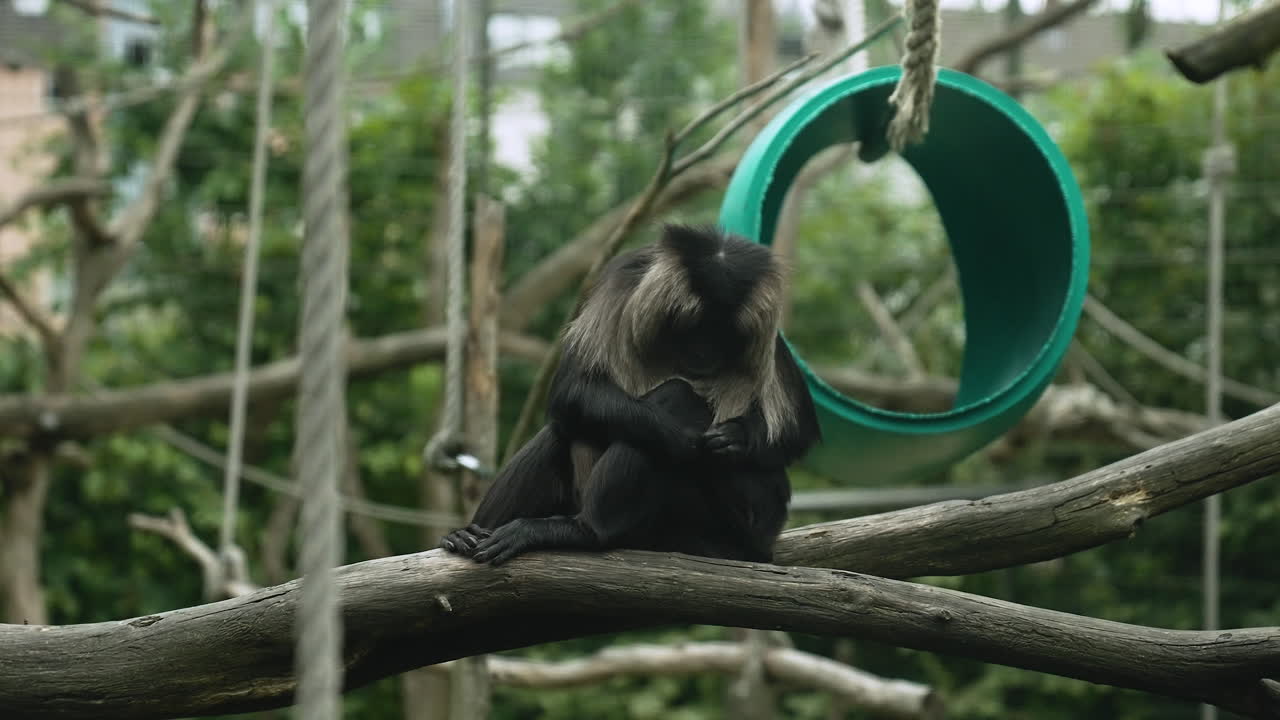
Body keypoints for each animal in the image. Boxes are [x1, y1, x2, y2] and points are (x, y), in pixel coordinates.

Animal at [439, 223, 821, 566]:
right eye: (696, 328)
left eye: (724, 334)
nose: (706, 352)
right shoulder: (624, 283)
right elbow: (572, 390)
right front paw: (681, 437)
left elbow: (797, 434)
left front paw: (735, 437)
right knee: (570, 428)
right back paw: (470, 533)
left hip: (737, 522)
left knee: (676, 399)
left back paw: (588, 532)